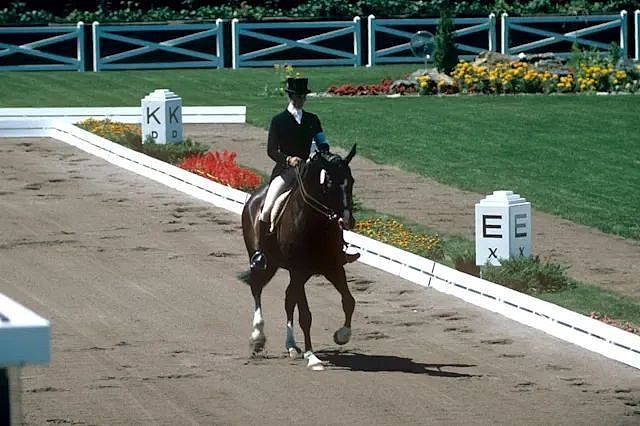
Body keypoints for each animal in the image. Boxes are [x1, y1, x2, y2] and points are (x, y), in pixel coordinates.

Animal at [240, 146, 358, 370]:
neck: (314, 222)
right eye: (329, 184)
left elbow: (349, 301)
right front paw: (312, 357)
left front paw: (342, 335)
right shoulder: (299, 269)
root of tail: (254, 197)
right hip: (263, 262)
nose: (347, 221)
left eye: (351, 181)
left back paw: (292, 347)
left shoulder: (333, 267)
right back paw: (258, 338)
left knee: (288, 299)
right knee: (257, 288)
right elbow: (305, 316)